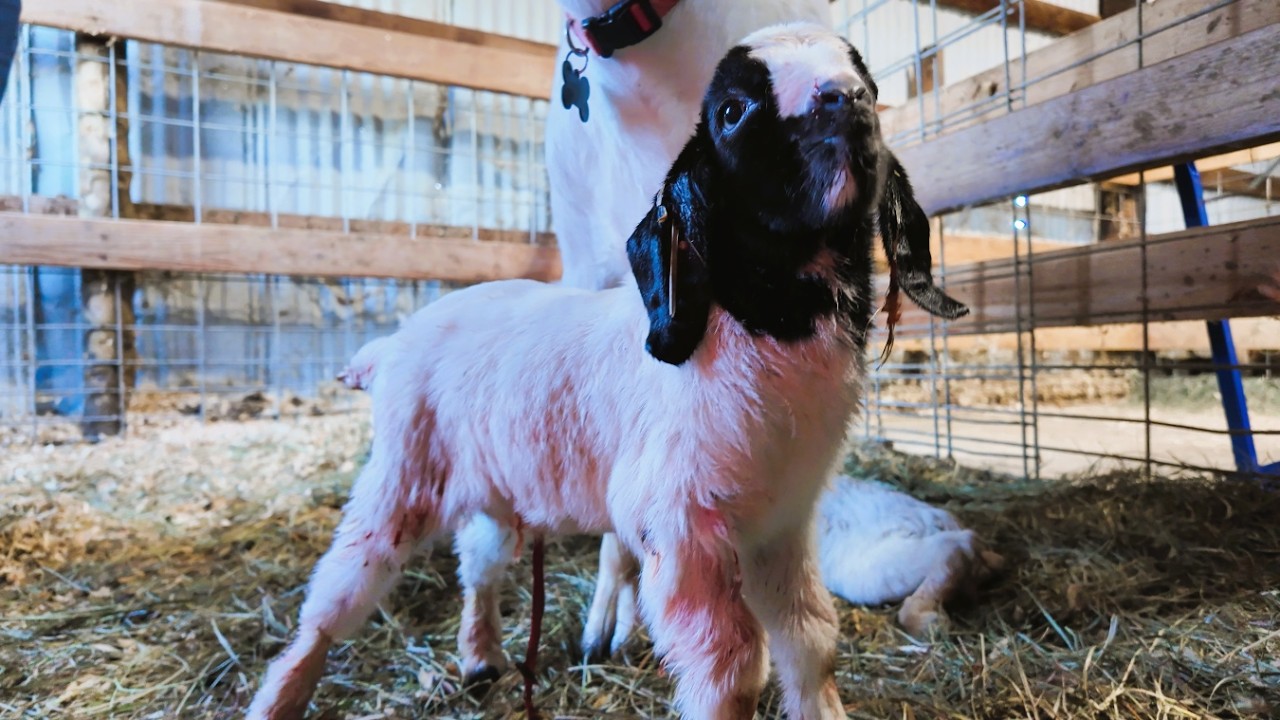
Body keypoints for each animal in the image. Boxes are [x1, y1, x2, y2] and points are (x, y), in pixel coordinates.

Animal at [246, 23, 966, 719]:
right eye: (731, 110)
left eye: (870, 81)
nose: (845, 99)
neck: (759, 324)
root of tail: (394, 344)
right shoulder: (682, 527)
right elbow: (731, 671)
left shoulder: (782, 522)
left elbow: (812, 639)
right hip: (401, 476)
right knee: (336, 595)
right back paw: (280, 698)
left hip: (495, 485)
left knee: (479, 565)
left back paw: (481, 659)